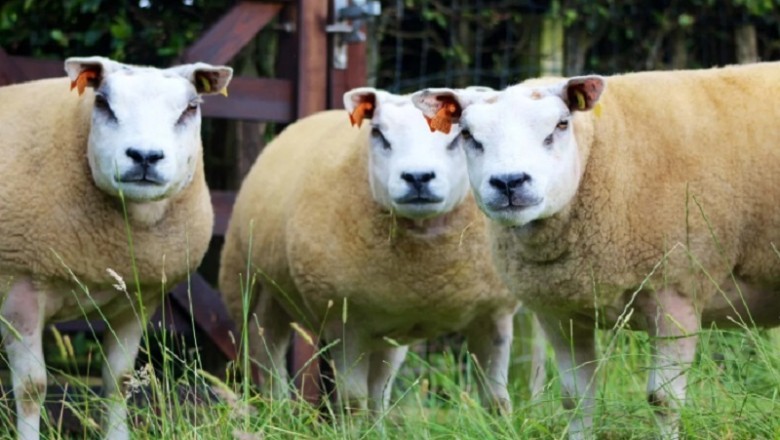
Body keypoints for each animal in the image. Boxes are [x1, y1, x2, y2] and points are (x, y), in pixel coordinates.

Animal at [0, 56, 232, 440]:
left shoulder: (136, 299)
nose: (145, 156)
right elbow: (32, 388)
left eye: (191, 108)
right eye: (103, 103)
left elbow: (119, 382)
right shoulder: (21, 289)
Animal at [219, 87, 545, 416]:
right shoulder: (344, 320)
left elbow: (496, 399)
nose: (417, 177)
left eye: (458, 137)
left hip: (388, 328)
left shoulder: (493, 316)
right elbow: (352, 400)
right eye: (378, 134)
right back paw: (280, 411)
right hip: (251, 291)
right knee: (267, 357)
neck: (427, 276)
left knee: (380, 384)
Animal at [412, 62, 780, 438]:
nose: (509, 182)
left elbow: (663, 400)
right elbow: (576, 399)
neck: (600, 154)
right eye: (468, 135)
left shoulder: (676, 292)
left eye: (560, 125)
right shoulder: (559, 312)